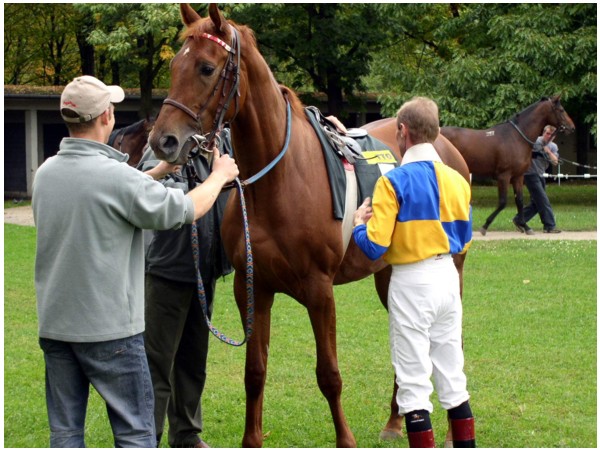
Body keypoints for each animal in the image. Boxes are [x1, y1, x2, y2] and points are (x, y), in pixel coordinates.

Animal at [148, 4, 472, 448]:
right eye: (173, 66)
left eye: (206, 68)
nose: (162, 141)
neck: (280, 182)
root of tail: (445, 144)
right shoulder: (252, 287)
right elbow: (255, 371)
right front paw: (252, 439)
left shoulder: (320, 291)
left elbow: (329, 374)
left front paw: (345, 440)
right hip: (389, 275)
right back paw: (395, 420)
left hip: (449, 271)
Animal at [440, 96, 576, 235]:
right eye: (561, 110)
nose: (572, 127)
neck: (516, 137)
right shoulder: (504, 176)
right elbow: (502, 202)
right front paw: (485, 226)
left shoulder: (518, 176)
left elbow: (519, 201)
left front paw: (525, 226)